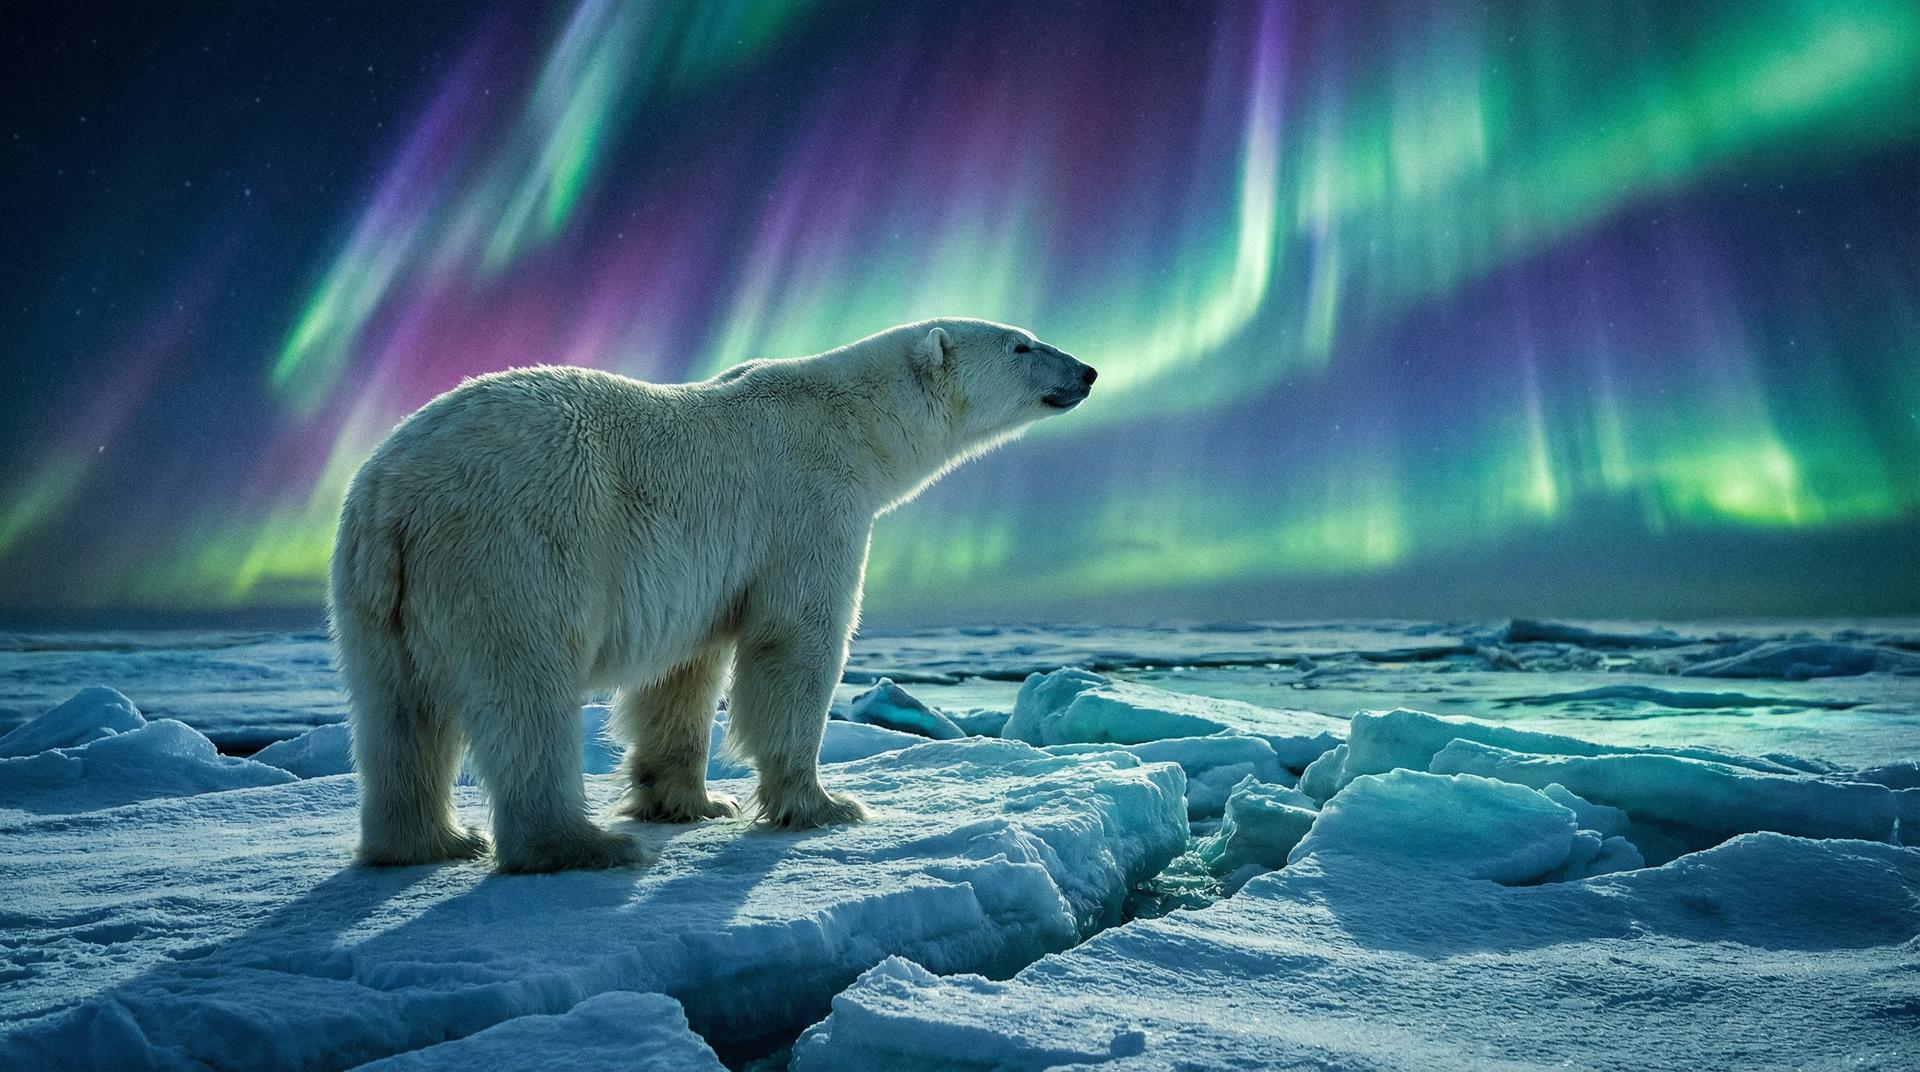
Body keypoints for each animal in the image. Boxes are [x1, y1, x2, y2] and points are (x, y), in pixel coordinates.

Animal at [329, 319, 1096, 872]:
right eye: (1021, 344)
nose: (1087, 371)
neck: (852, 421)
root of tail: (394, 491)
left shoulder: (697, 572)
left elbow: (683, 674)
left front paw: (693, 801)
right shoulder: (807, 506)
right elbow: (796, 643)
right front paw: (825, 804)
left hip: (374, 593)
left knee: (396, 715)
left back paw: (431, 842)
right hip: (514, 549)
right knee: (525, 694)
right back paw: (579, 846)